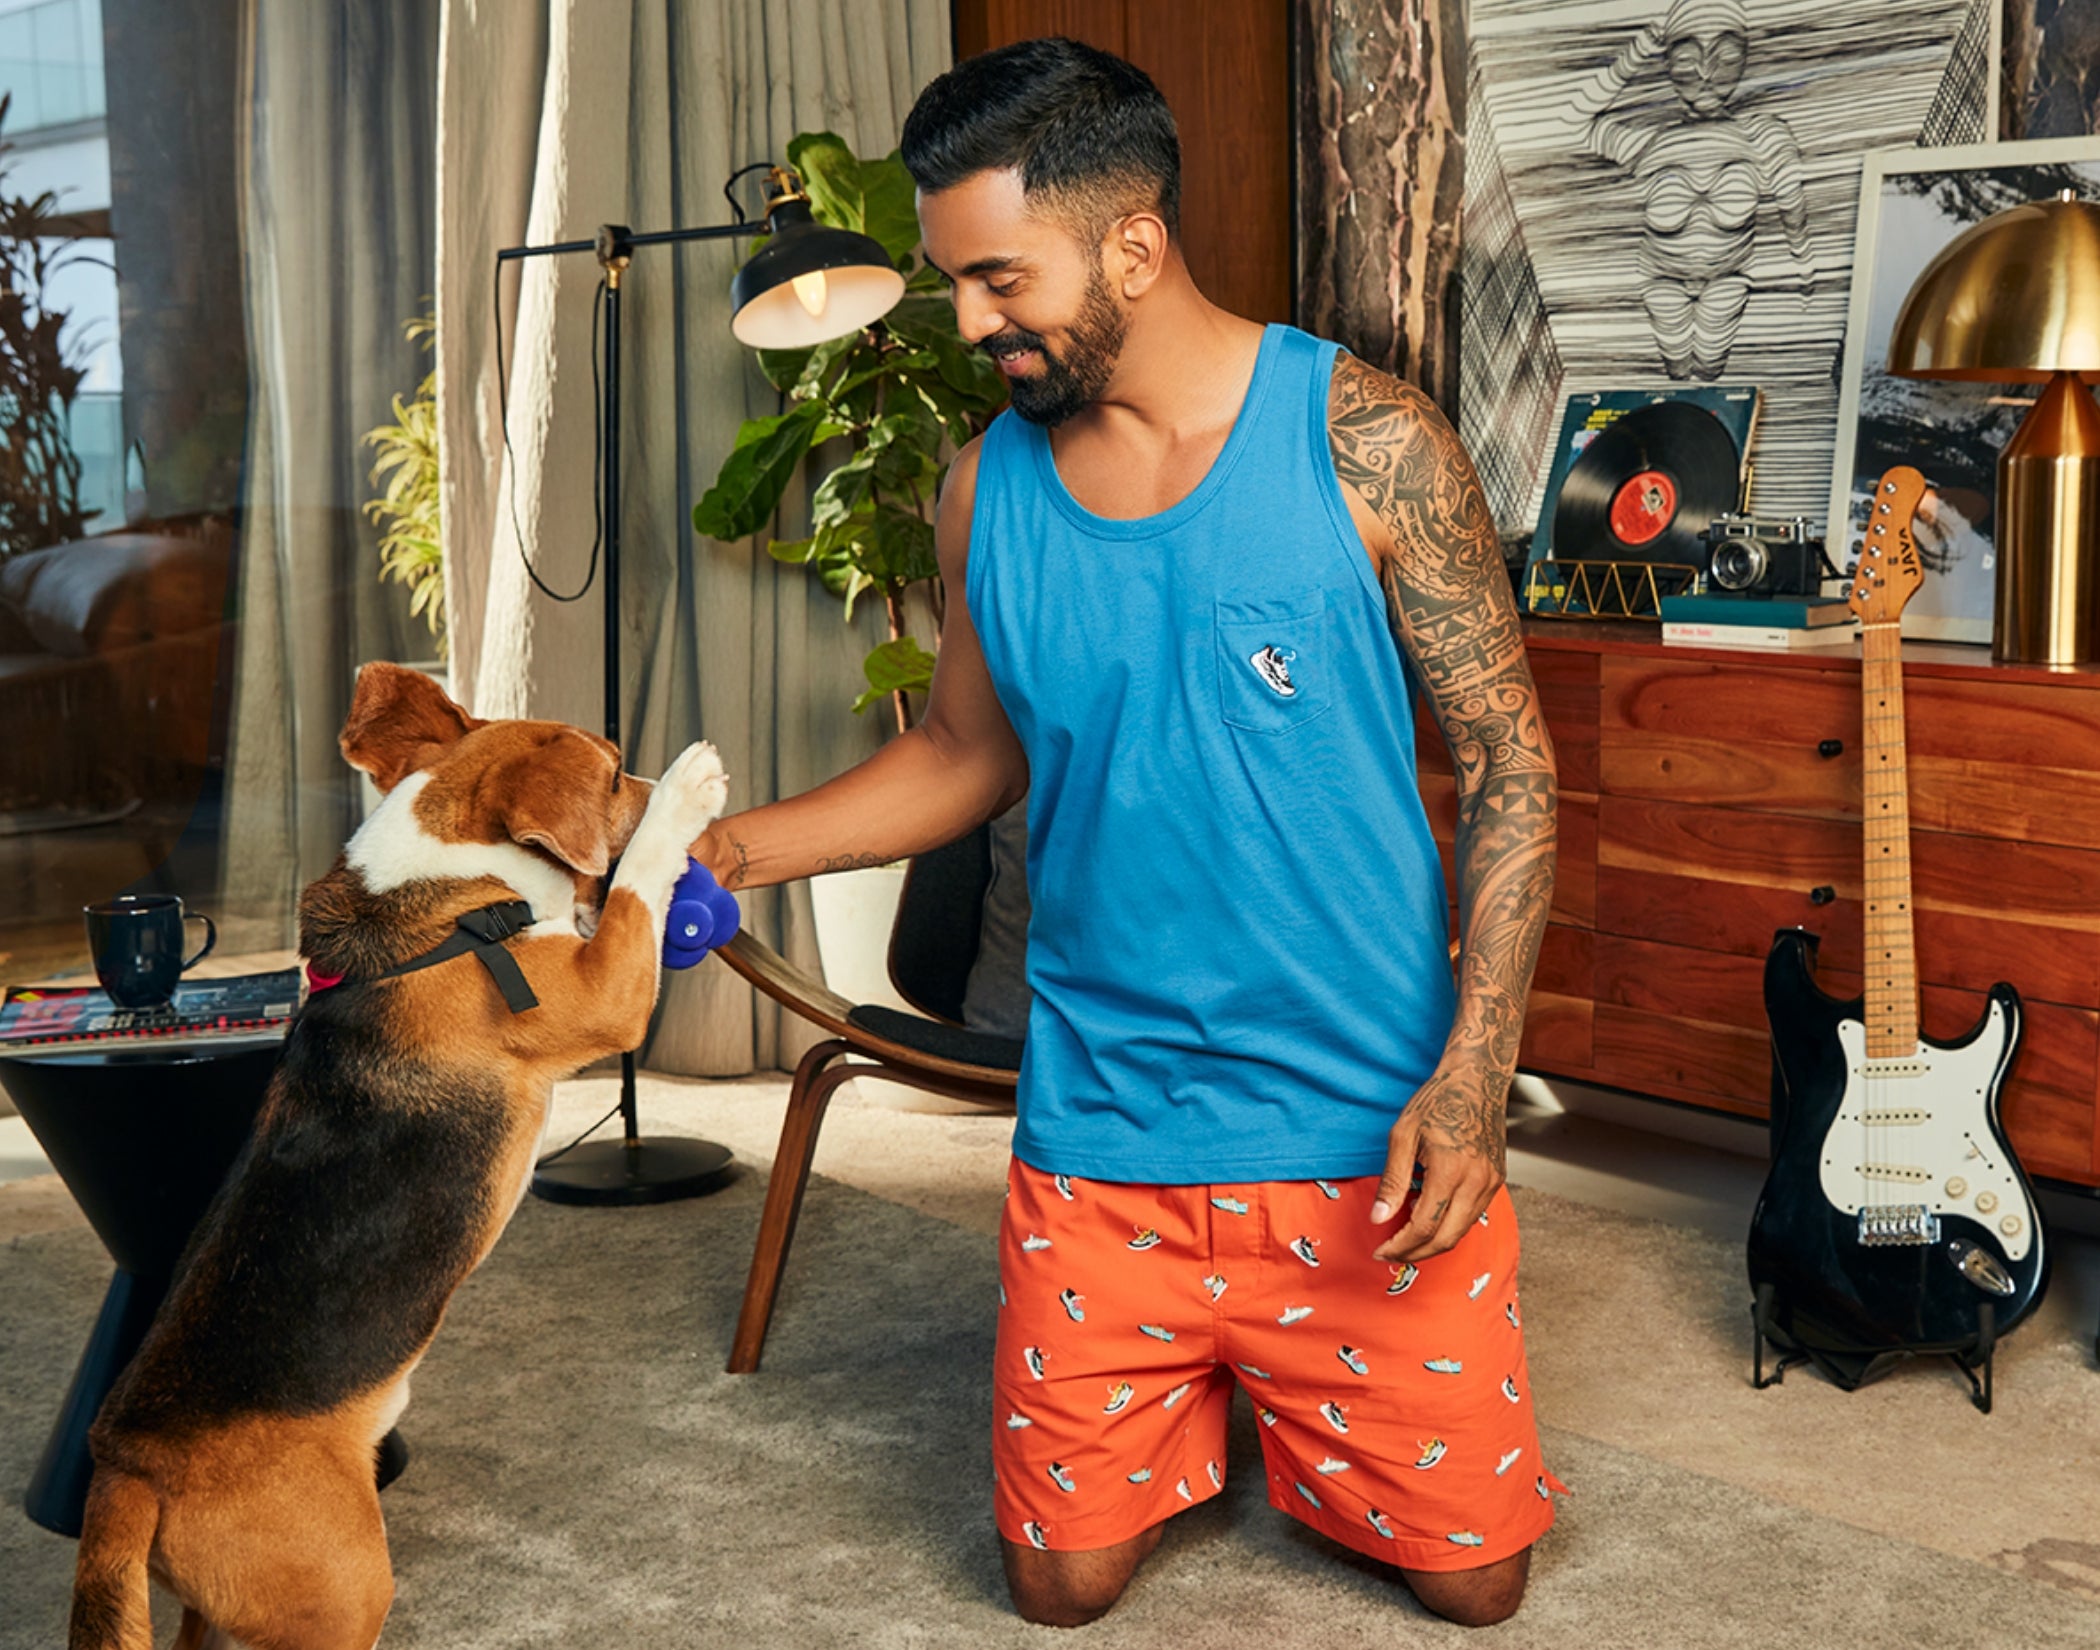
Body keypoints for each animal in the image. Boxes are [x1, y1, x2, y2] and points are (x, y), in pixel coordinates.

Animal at [68, 662, 728, 1650]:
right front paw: (685, 796)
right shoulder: (605, 991)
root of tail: (127, 1466)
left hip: (219, 1614)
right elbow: (634, 892)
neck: (440, 900)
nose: (656, 788)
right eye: (615, 775)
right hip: (342, 1596)